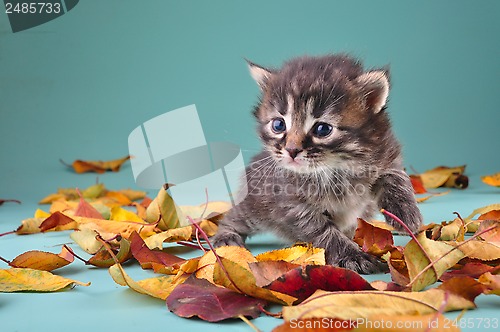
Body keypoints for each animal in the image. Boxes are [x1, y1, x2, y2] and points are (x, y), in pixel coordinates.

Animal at [211, 53, 422, 272]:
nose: (292, 150)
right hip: (255, 205)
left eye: (322, 129)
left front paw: (406, 213)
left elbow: (396, 176)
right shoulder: (291, 203)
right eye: (278, 125)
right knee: (233, 216)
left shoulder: (387, 152)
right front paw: (351, 255)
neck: (336, 168)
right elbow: (322, 230)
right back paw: (226, 239)